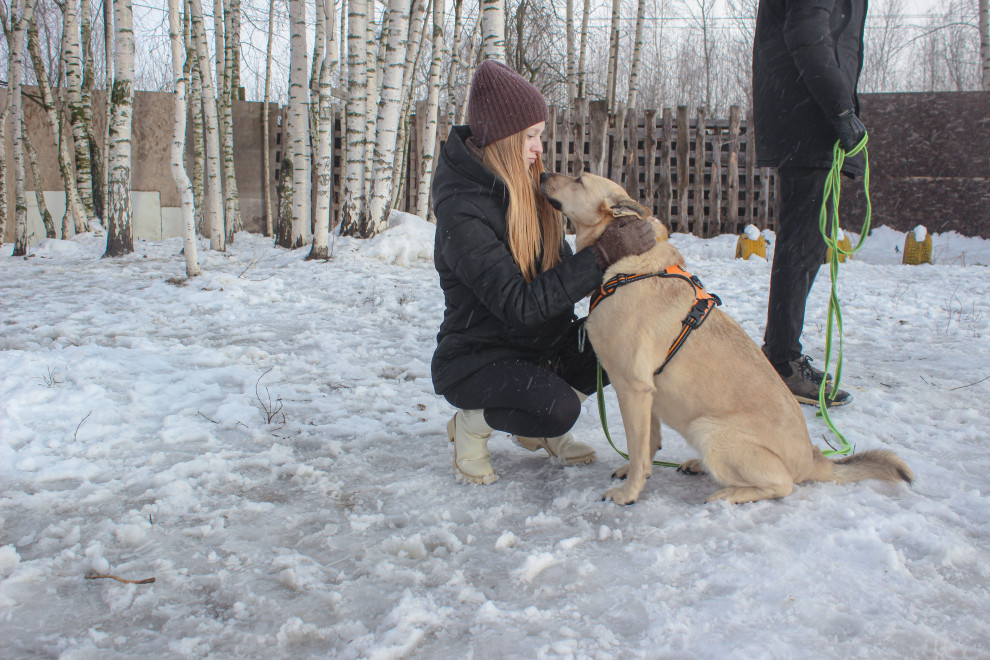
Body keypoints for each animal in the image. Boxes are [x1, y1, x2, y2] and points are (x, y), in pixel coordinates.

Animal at [544, 171, 916, 506]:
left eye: (579, 179)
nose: (544, 172)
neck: (630, 267)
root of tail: (814, 458)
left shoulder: (633, 388)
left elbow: (638, 448)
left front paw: (629, 493)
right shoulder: (646, 392)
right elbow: (648, 445)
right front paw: (637, 474)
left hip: (709, 432)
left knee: (782, 485)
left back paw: (728, 494)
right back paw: (698, 466)